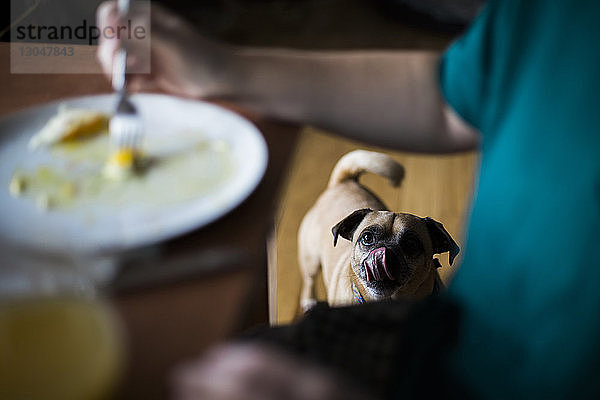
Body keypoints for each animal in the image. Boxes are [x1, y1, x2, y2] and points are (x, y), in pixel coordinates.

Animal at [296, 150, 460, 310]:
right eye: (367, 238)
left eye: (411, 244)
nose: (384, 251)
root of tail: (344, 182)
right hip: (311, 259)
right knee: (309, 279)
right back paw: (309, 301)